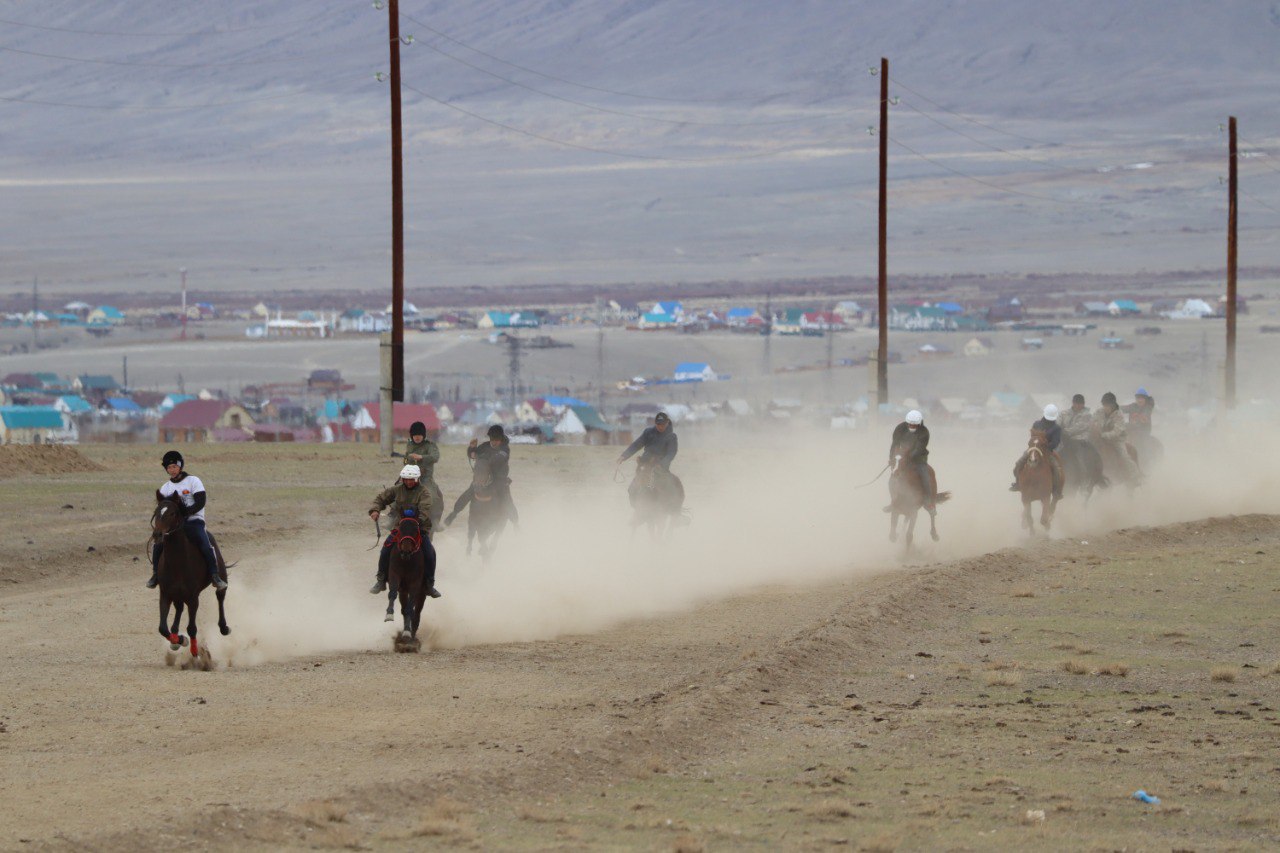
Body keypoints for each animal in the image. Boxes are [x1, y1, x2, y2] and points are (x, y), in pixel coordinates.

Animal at [150, 494, 230, 666]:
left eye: (172, 513)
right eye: (156, 511)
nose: (157, 535)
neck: (177, 562)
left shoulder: (193, 598)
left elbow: (192, 628)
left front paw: (196, 653)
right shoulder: (165, 594)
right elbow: (162, 628)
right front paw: (179, 640)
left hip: (221, 578)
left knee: (220, 596)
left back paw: (224, 627)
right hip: (177, 595)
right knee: (179, 608)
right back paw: (175, 637)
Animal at [384, 512, 435, 650]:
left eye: (415, 530)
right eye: (400, 529)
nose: (405, 551)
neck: (407, 561)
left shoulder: (415, 584)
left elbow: (410, 610)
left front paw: (407, 634)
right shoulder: (394, 575)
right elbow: (392, 593)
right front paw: (389, 614)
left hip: (422, 594)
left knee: (415, 615)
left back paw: (410, 639)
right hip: (403, 591)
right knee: (404, 609)